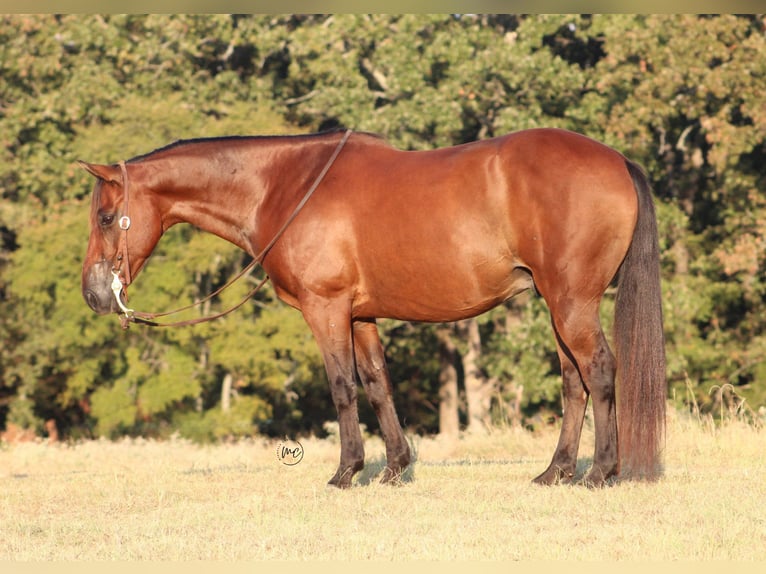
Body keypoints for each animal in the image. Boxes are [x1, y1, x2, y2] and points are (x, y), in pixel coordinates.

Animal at [80, 128, 666, 488]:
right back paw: (556, 472)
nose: (93, 294)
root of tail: (616, 160)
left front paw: (347, 471)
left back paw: (601, 472)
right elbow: (378, 383)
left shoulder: (326, 309)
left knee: (600, 371)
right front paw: (394, 468)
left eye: (106, 218)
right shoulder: (360, 316)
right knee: (574, 381)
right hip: (558, 305)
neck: (284, 186)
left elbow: (342, 387)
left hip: (572, 303)